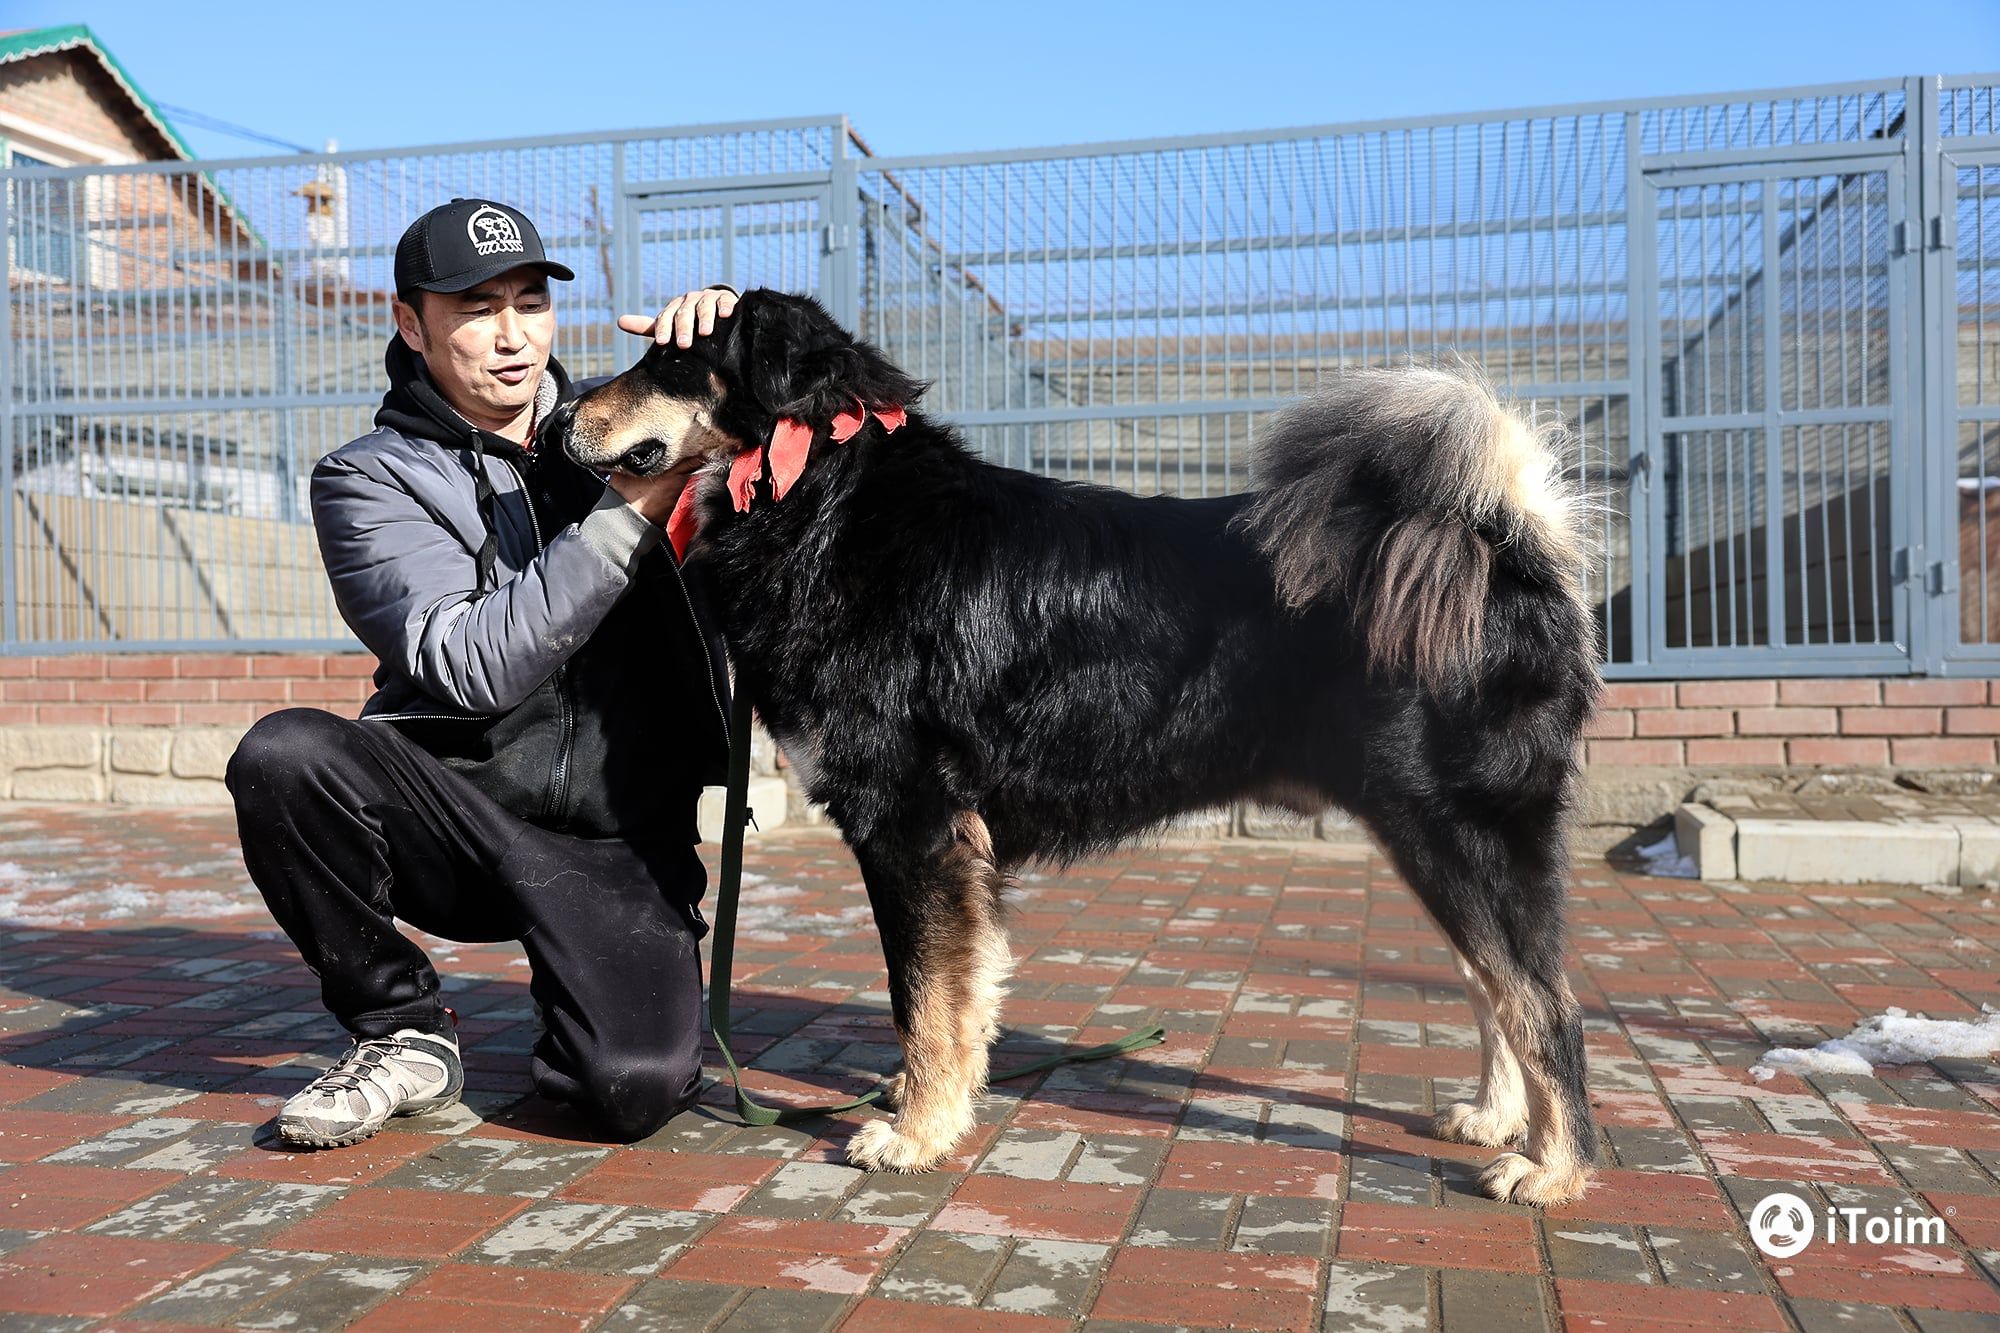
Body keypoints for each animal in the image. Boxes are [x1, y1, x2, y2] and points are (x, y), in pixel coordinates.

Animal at [556, 286, 1600, 1200]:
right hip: (1428, 836)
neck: (822, 495)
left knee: (1543, 1000)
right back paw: (1496, 1118)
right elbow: (958, 997)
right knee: (1490, 985)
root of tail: (1507, 544)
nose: (561, 411)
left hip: (1459, 830)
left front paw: (916, 1133)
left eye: (669, 360)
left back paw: (1554, 1167)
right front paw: (942, 1100)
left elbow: (920, 997)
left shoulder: (913, 830)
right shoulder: (947, 848)